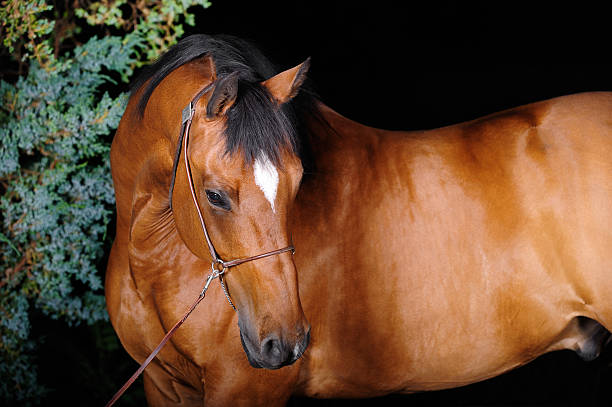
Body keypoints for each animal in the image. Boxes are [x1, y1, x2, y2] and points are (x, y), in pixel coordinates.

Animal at [107, 33, 612, 406]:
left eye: (298, 183)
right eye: (214, 196)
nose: (285, 343)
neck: (154, 263)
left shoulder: (243, 389)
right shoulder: (162, 386)